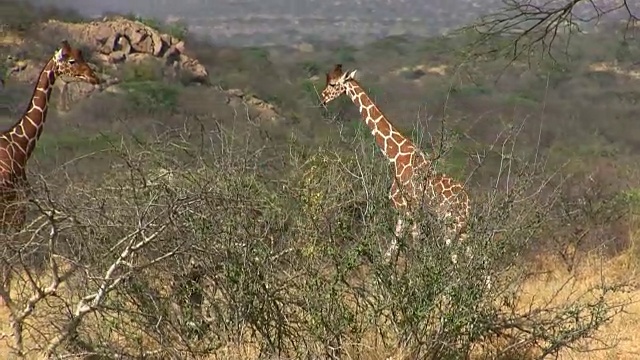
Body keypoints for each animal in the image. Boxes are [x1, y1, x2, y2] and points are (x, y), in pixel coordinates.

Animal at [0, 39, 100, 306]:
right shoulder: (13, 213)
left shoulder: (14, 216)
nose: (94, 77)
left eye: (81, 56)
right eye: (71, 60)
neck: (20, 148)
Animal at [318, 64, 470, 262]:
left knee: (455, 256)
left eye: (333, 84)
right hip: (462, 226)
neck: (395, 156)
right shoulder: (403, 212)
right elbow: (393, 248)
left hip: (451, 224)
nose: (322, 98)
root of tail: (468, 203)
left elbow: (412, 245)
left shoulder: (406, 208)